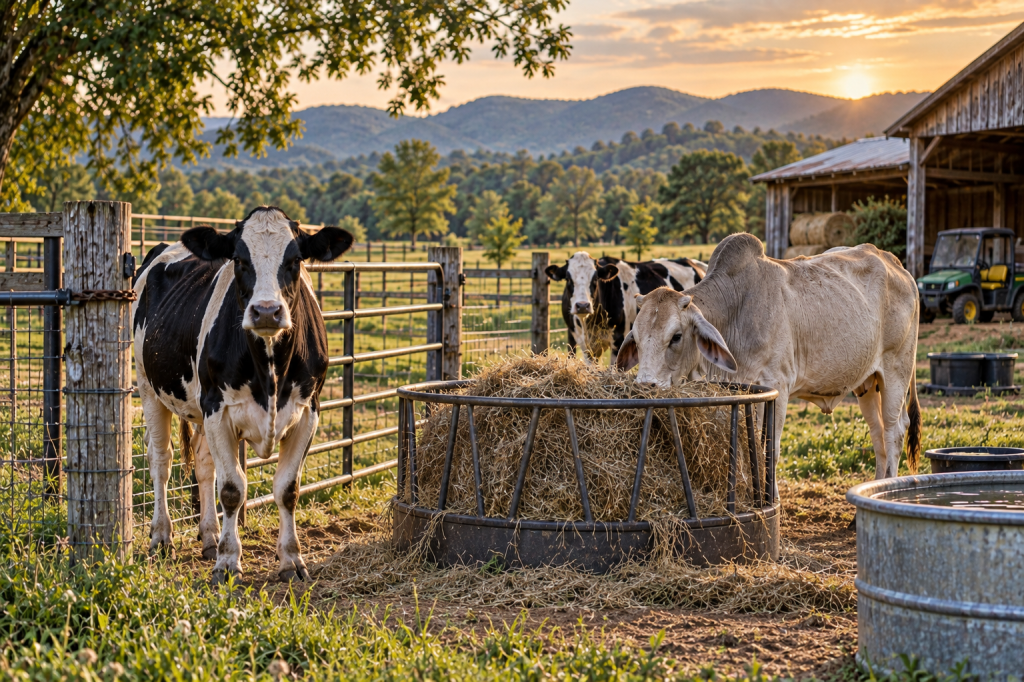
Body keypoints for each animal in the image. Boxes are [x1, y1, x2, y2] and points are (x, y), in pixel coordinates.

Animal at [132, 206, 353, 583]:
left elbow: (287, 489)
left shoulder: (308, 411)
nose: (266, 311)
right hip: (150, 389)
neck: (269, 368)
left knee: (204, 465)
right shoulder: (218, 410)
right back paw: (162, 537)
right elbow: (233, 489)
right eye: (238, 258)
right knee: (161, 461)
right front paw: (228, 562)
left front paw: (291, 560)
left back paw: (208, 537)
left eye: (295, 259)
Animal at [616, 233, 921, 482]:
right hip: (867, 383)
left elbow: (768, 455)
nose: (645, 387)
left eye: (676, 336)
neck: (736, 311)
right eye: (636, 339)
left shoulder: (778, 387)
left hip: (896, 370)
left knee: (894, 431)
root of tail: (896, 264)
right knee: (878, 434)